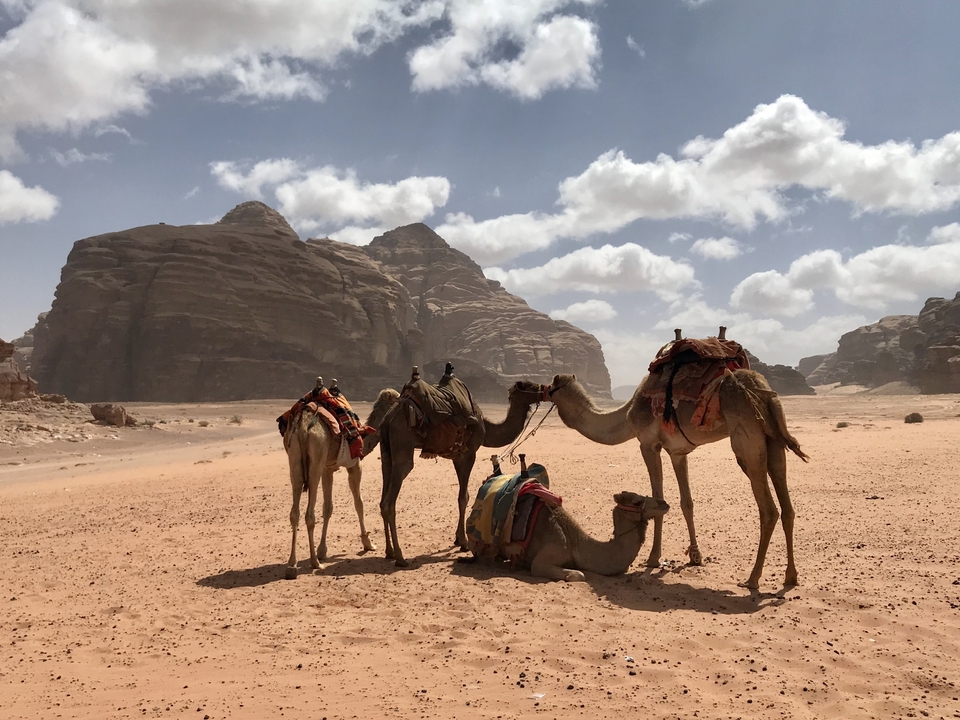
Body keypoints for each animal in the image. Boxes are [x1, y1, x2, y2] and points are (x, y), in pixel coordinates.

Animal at [283, 387, 400, 579]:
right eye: (397, 397)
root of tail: (303, 427)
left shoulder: (328, 469)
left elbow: (328, 507)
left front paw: (323, 550)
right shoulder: (354, 465)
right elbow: (359, 503)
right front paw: (368, 543)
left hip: (295, 460)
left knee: (294, 512)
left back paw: (292, 565)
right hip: (315, 460)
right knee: (309, 514)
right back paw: (315, 562)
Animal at [378, 377, 550, 567]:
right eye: (530, 386)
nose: (548, 389)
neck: (486, 427)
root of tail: (388, 419)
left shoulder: (456, 455)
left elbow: (462, 495)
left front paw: (458, 539)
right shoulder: (468, 453)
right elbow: (464, 497)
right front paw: (464, 542)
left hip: (386, 453)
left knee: (382, 500)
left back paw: (389, 552)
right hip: (402, 444)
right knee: (390, 501)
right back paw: (400, 557)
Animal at [547, 355, 808, 589]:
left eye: (551, 386)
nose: (538, 389)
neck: (627, 416)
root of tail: (764, 392)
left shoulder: (648, 444)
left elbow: (659, 498)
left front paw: (653, 558)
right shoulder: (678, 452)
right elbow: (686, 502)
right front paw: (695, 556)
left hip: (747, 443)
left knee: (769, 510)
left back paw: (752, 579)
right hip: (774, 443)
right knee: (788, 508)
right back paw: (790, 577)